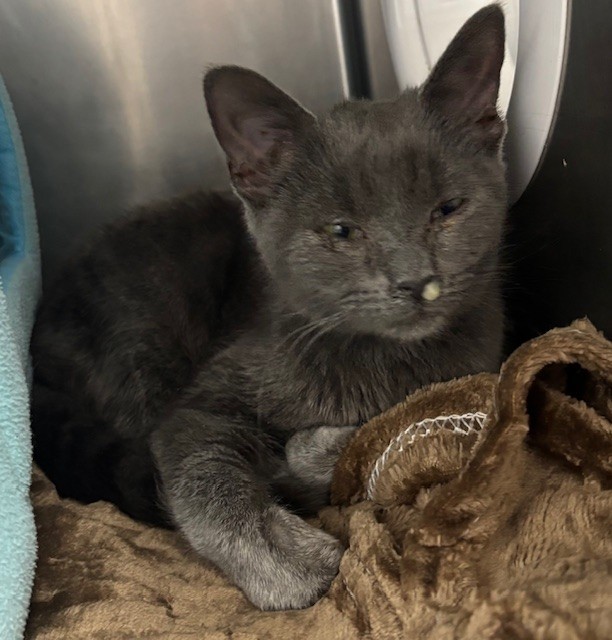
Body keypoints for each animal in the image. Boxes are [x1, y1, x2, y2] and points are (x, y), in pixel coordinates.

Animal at [31, 5, 507, 610]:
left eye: (447, 209)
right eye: (341, 231)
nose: (415, 280)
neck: (382, 362)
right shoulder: (200, 405)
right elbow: (202, 473)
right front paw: (288, 562)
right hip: (140, 338)